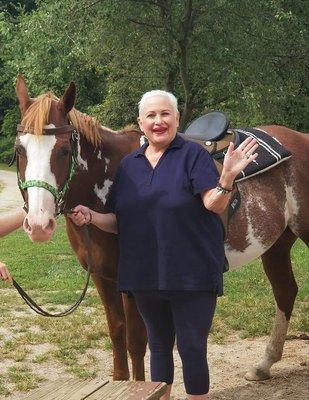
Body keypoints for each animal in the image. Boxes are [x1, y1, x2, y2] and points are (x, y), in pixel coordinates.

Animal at [15, 76, 308, 382]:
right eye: (19, 149)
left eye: (63, 150)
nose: (39, 224)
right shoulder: (101, 277)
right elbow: (117, 333)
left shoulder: (134, 283)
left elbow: (136, 340)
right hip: (276, 245)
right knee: (286, 292)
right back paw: (264, 365)